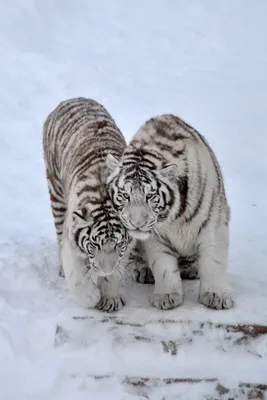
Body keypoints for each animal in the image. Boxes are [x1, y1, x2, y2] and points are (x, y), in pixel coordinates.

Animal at [43, 97, 137, 312]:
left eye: (118, 244)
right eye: (94, 244)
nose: (104, 270)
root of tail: (73, 99)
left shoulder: (125, 247)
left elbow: (115, 271)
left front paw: (110, 298)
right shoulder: (71, 234)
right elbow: (76, 276)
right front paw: (90, 297)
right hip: (57, 195)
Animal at [107, 114, 234, 310]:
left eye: (150, 196)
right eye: (125, 195)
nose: (137, 224)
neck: (174, 218)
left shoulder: (213, 222)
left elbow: (213, 262)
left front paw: (216, 296)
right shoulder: (155, 237)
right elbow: (163, 265)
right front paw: (166, 296)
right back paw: (145, 271)